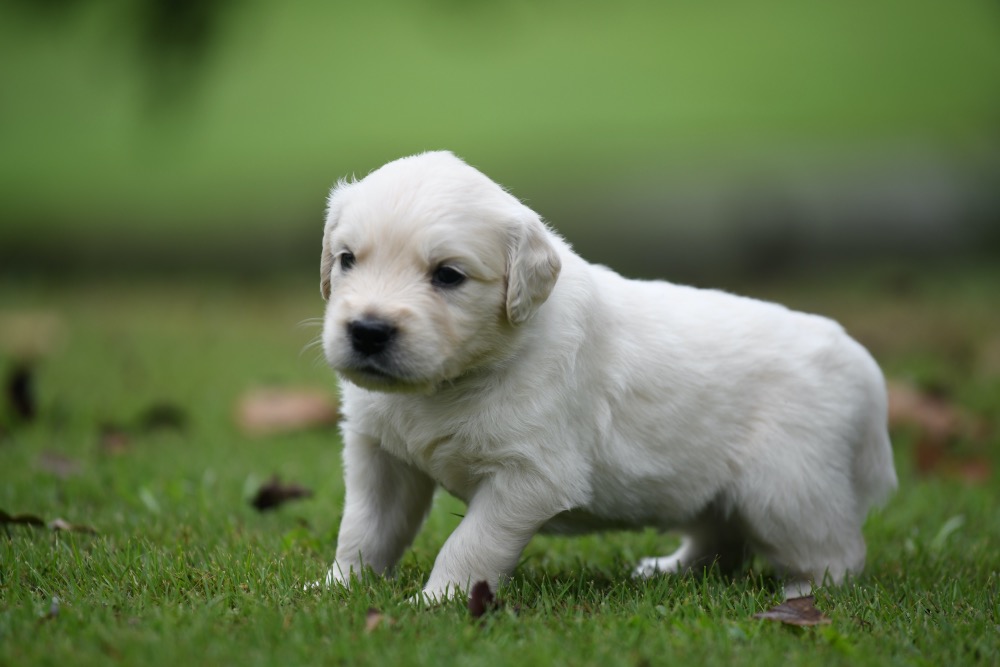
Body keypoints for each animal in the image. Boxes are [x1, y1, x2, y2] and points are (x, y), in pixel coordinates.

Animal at [316, 154, 896, 604]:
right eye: (346, 259)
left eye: (448, 275)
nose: (368, 331)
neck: (452, 382)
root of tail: (860, 361)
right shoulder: (379, 456)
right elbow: (365, 528)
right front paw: (337, 587)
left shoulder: (529, 476)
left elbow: (471, 542)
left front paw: (439, 600)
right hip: (714, 488)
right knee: (721, 541)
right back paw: (669, 571)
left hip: (787, 490)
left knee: (837, 554)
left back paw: (803, 595)